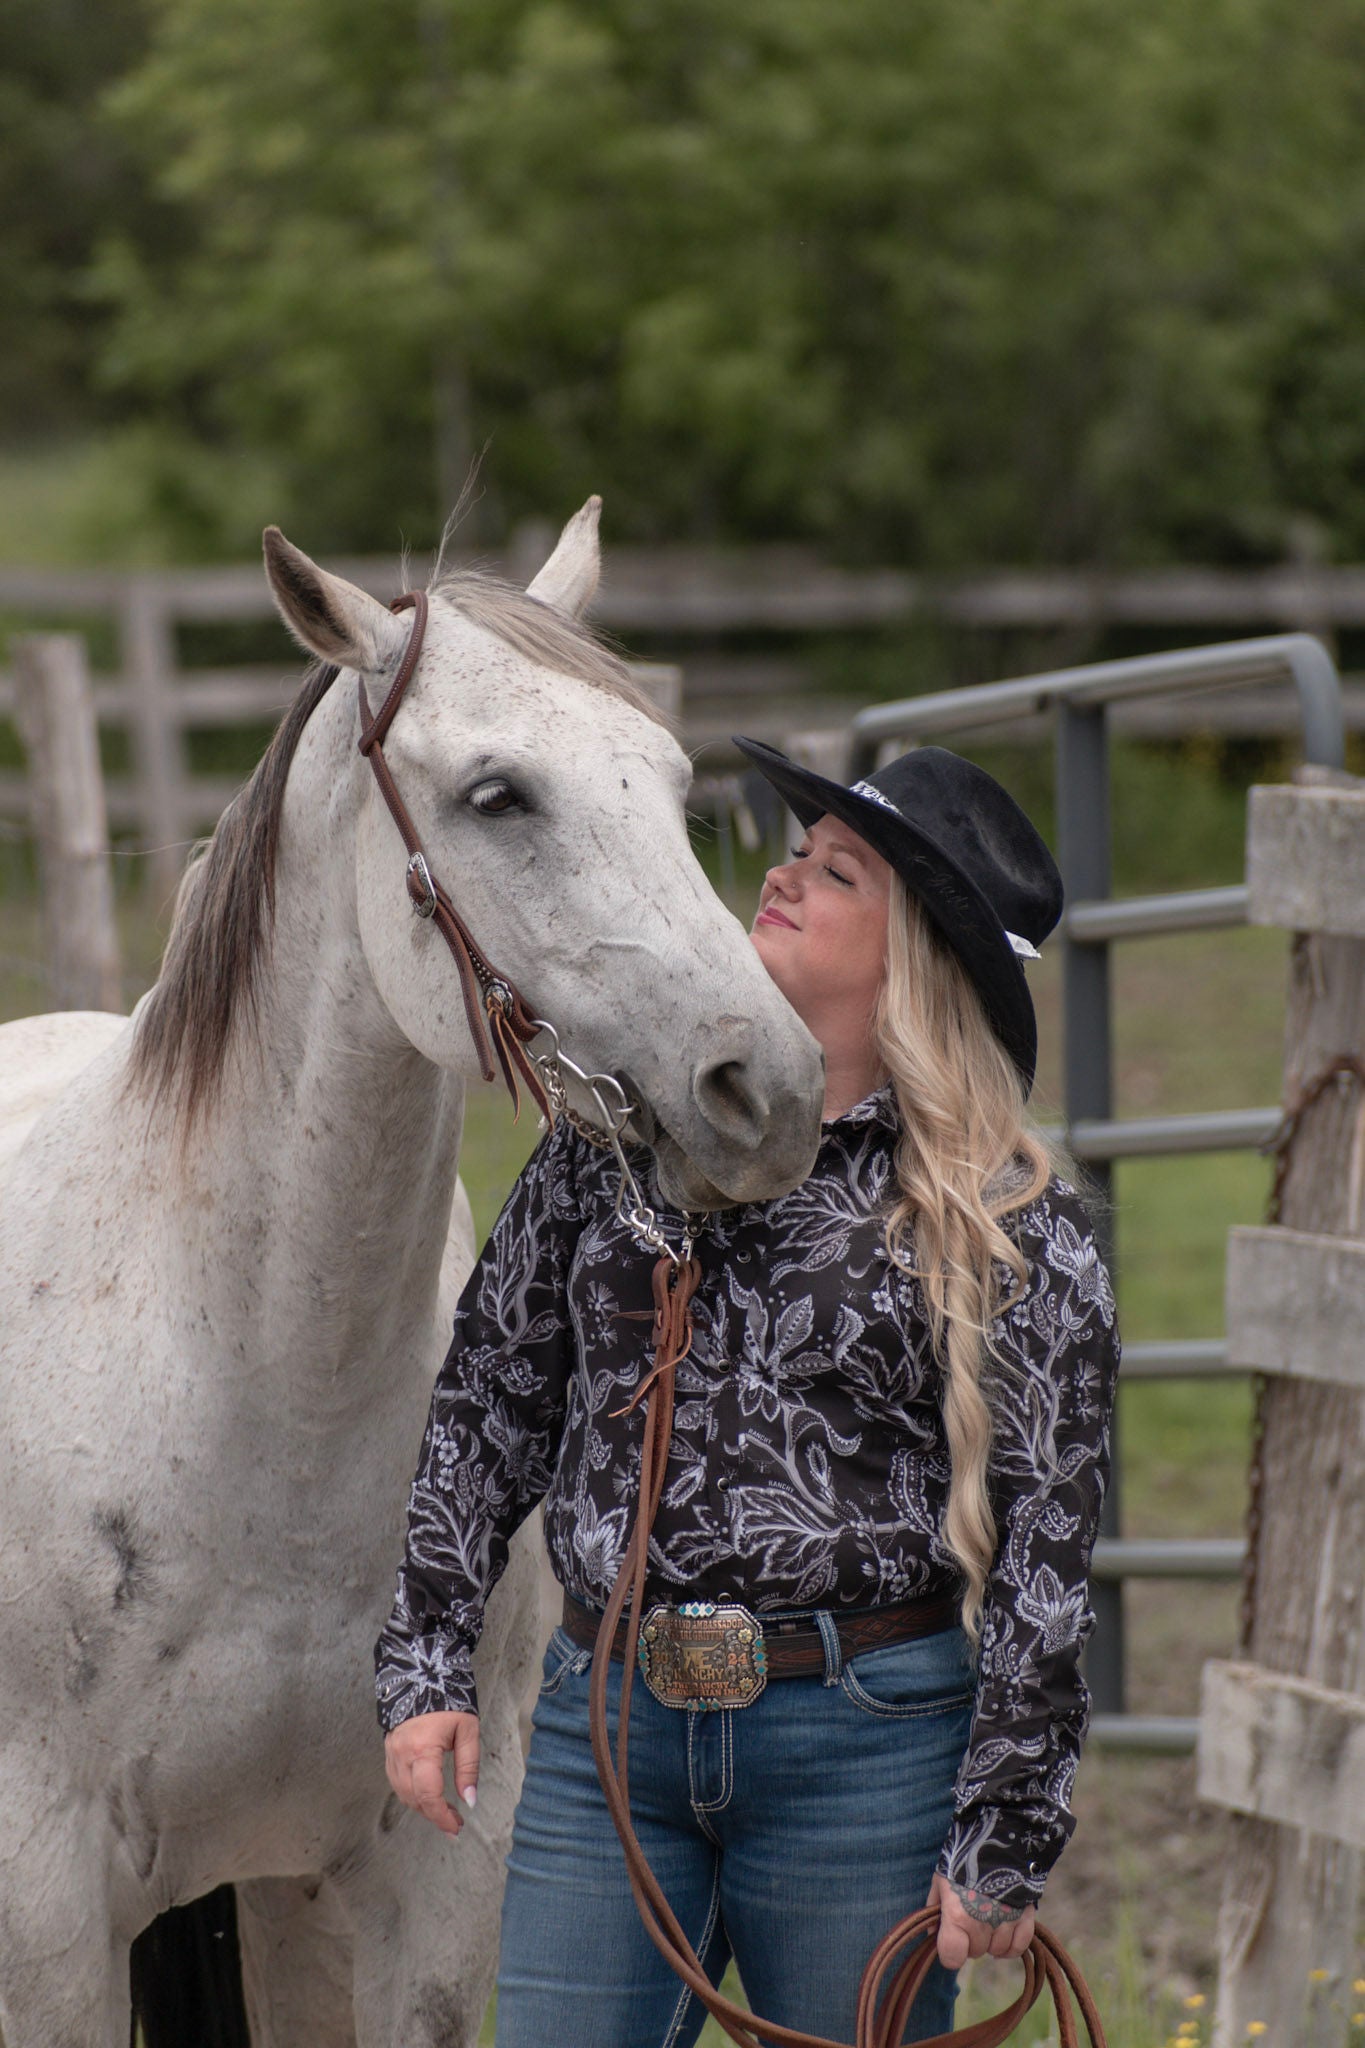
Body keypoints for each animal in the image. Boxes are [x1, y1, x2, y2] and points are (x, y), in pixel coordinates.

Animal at [0, 499, 822, 2048]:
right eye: (499, 796)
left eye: (675, 780)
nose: (768, 1088)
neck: (258, 1385)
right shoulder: (46, 1917)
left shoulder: (419, 1881)